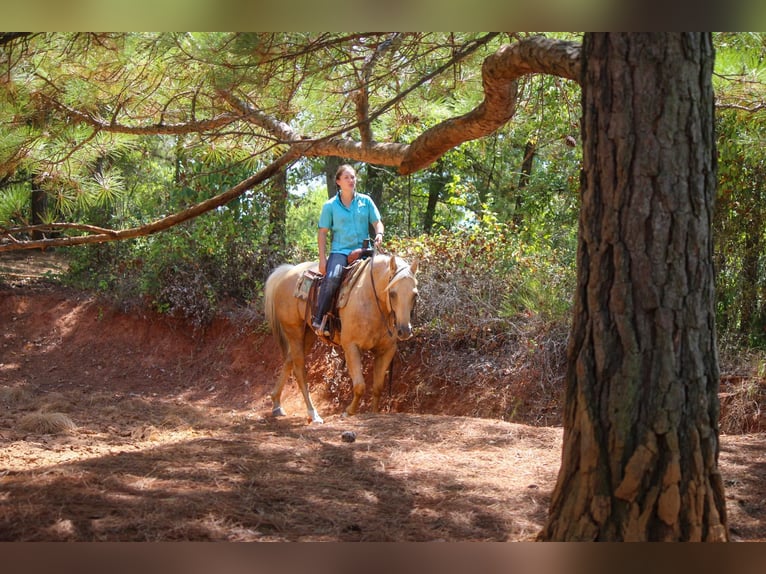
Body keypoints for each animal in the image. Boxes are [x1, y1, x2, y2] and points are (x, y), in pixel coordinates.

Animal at [264, 254, 420, 426]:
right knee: (299, 369)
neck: (370, 299)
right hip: (294, 331)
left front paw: (373, 413)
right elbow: (360, 386)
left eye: (415, 295)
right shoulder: (351, 346)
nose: (404, 330)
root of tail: (287, 272)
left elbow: (378, 387)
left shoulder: (386, 350)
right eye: (392, 293)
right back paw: (313, 414)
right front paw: (348, 412)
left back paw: (276, 404)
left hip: (308, 334)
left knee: (289, 361)